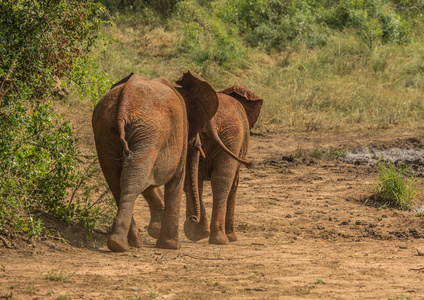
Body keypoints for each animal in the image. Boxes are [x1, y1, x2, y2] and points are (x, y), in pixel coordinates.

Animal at [92, 70, 219, 251]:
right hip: (147, 132)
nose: (193, 220)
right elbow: (176, 179)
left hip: (107, 131)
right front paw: (171, 246)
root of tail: (124, 101)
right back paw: (122, 244)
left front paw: (156, 230)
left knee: (120, 180)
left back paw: (127, 243)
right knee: (133, 179)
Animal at [184, 83, 264, 245]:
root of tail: (212, 122)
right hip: (232, 136)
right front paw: (233, 238)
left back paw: (204, 235)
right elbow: (234, 185)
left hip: (226, 136)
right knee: (223, 180)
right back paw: (219, 238)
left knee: (203, 179)